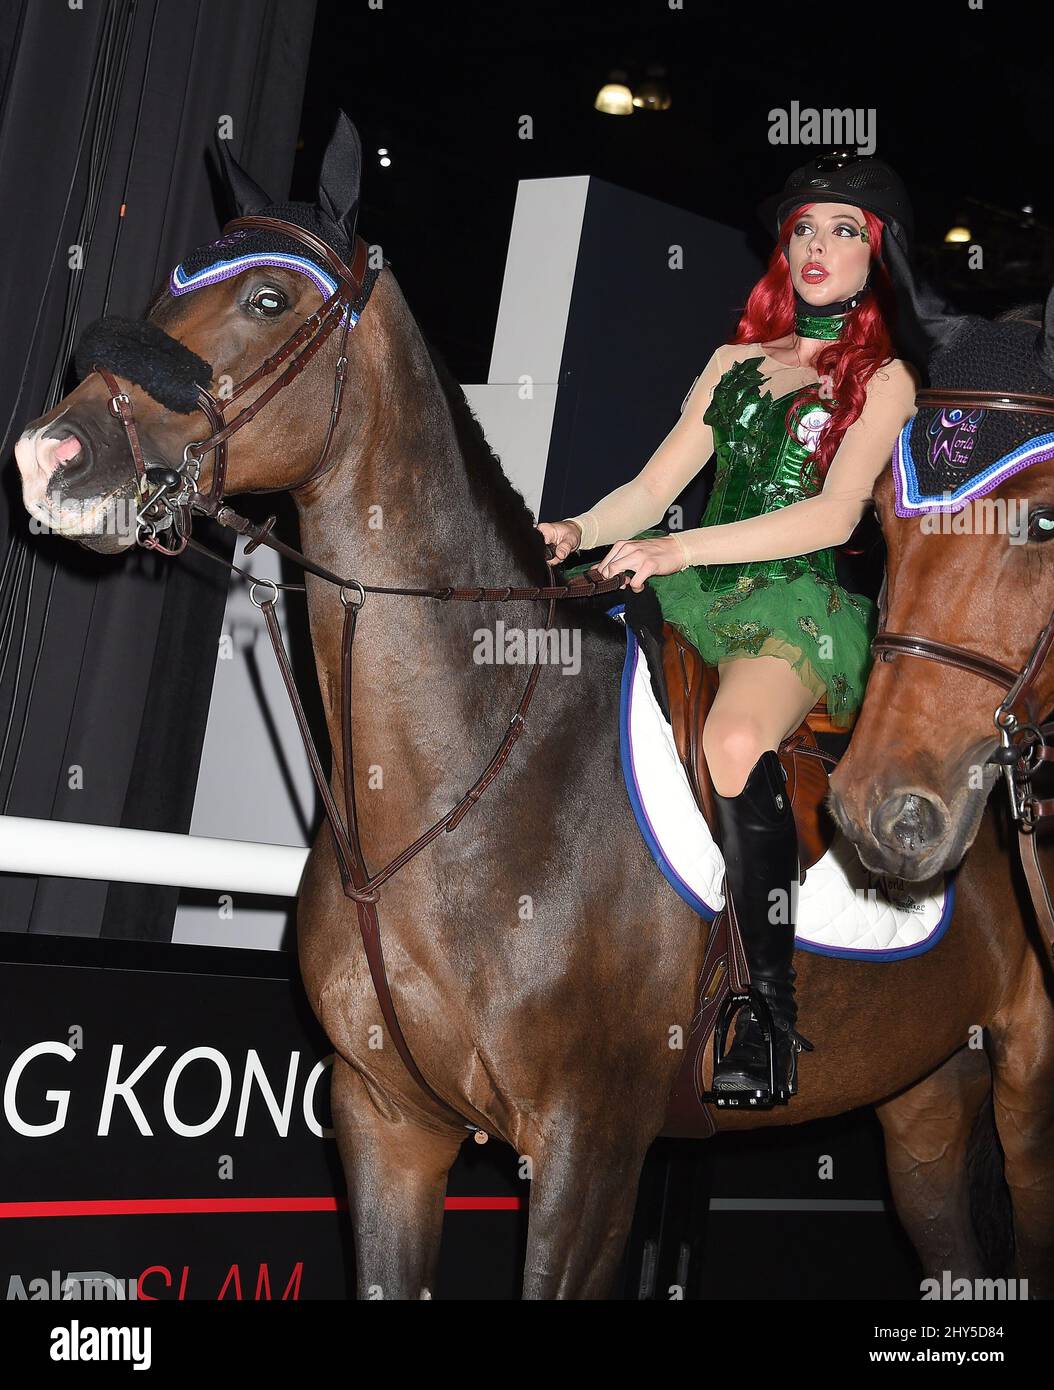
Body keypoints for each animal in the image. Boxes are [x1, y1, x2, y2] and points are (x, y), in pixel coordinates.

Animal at [12, 113, 1051, 1295]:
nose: (51, 456)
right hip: (925, 1098)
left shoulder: (589, 1153)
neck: (461, 785)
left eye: (267, 299)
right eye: (170, 281)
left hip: (1024, 1089)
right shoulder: (386, 1124)